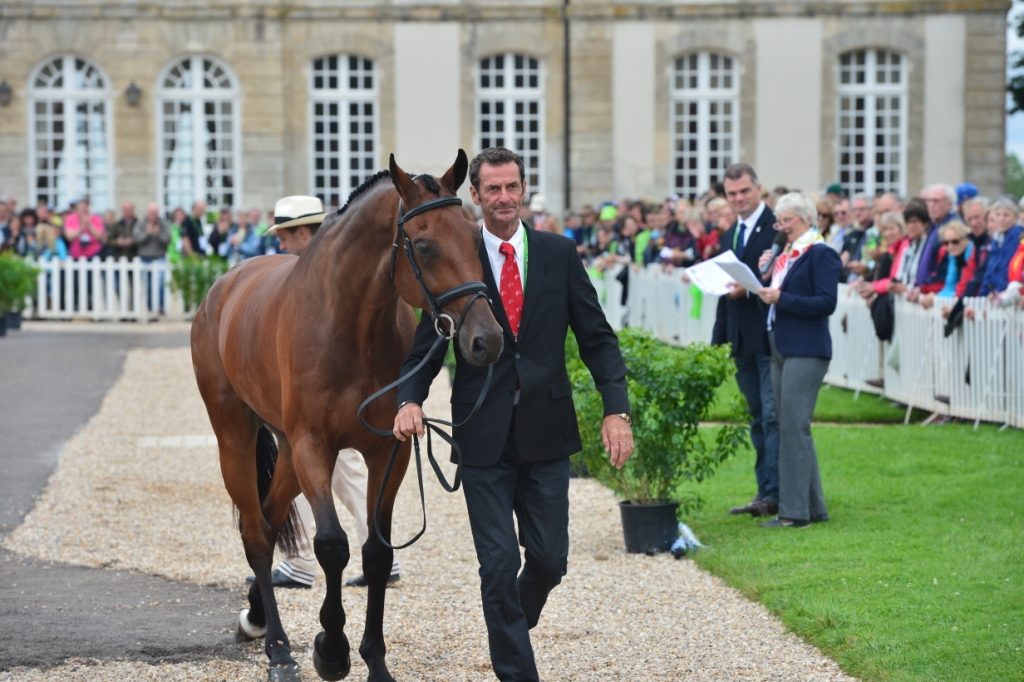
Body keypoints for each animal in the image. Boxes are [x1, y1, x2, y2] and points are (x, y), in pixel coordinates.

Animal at [191, 150, 503, 679]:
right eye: (424, 245)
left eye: (473, 238)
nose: (488, 340)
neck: (350, 325)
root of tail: (224, 287)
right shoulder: (314, 446)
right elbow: (332, 544)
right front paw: (330, 650)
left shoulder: (389, 450)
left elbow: (376, 551)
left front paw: (374, 659)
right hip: (235, 435)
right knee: (255, 532)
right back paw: (278, 649)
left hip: (287, 452)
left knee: (271, 519)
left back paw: (257, 618)